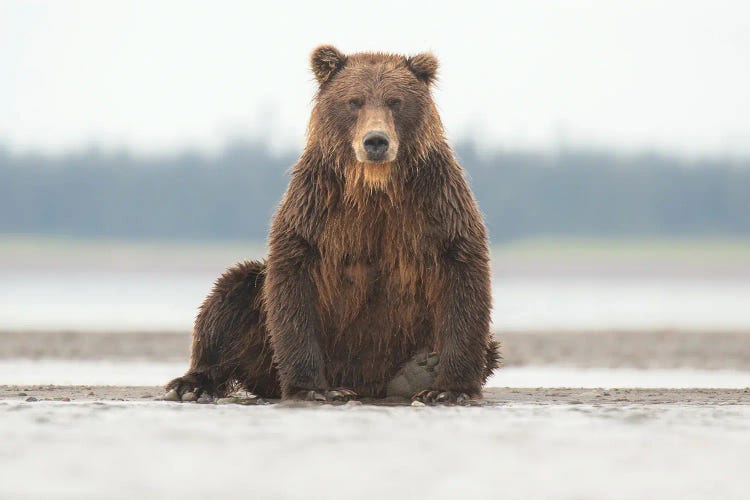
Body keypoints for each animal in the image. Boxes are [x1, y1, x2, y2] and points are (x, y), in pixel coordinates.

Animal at [167, 45, 502, 404]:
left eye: (395, 101)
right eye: (354, 101)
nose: (376, 141)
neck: (375, 185)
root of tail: (368, 384)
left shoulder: (436, 202)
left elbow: (462, 275)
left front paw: (447, 390)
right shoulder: (317, 207)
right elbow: (294, 281)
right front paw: (315, 389)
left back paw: (417, 370)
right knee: (231, 295)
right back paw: (192, 385)